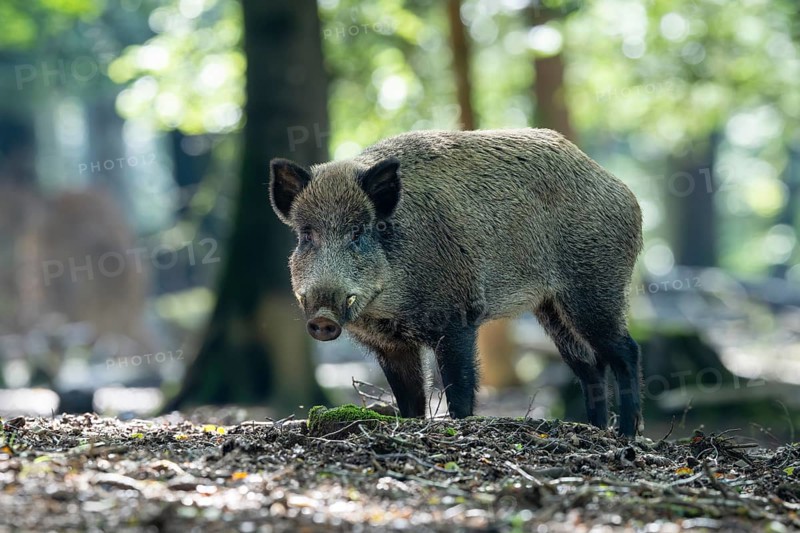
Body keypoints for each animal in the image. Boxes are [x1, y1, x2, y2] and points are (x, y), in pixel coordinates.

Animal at [269, 128, 643, 436]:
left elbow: (459, 389)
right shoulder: (390, 345)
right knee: (590, 365)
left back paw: (625, 434)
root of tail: (626, 195)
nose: (323, 318)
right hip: (550, 308)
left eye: (358, 233)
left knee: (626, 352)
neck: (386, 309)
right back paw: (594, 429)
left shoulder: (456, 317)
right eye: (306, 235)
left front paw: (458, 426)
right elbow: (411, 401)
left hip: (595, 286)